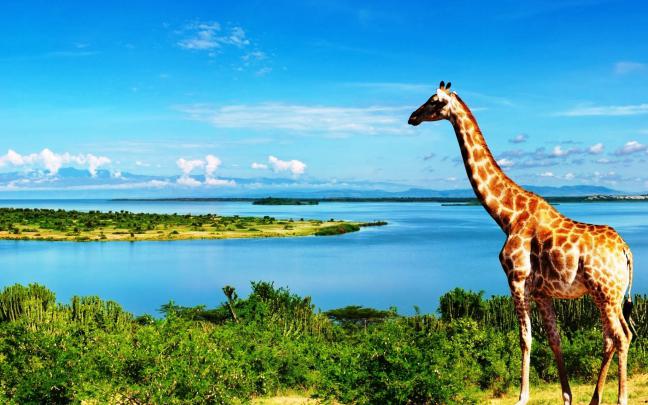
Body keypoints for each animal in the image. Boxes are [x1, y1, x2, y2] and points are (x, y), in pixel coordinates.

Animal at [408, 81, 635, 405]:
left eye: (434, 101)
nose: (412, 117)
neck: (507, 215)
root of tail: (626, 250)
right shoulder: (542, 292)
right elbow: (554, 338)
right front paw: (567, 396)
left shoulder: (516, 279)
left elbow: (525, 338)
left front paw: (522, 396)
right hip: (604, 295)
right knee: (613, 337)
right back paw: (595, 398)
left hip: (607, 292)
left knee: (621, 336)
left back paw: (620, 398)